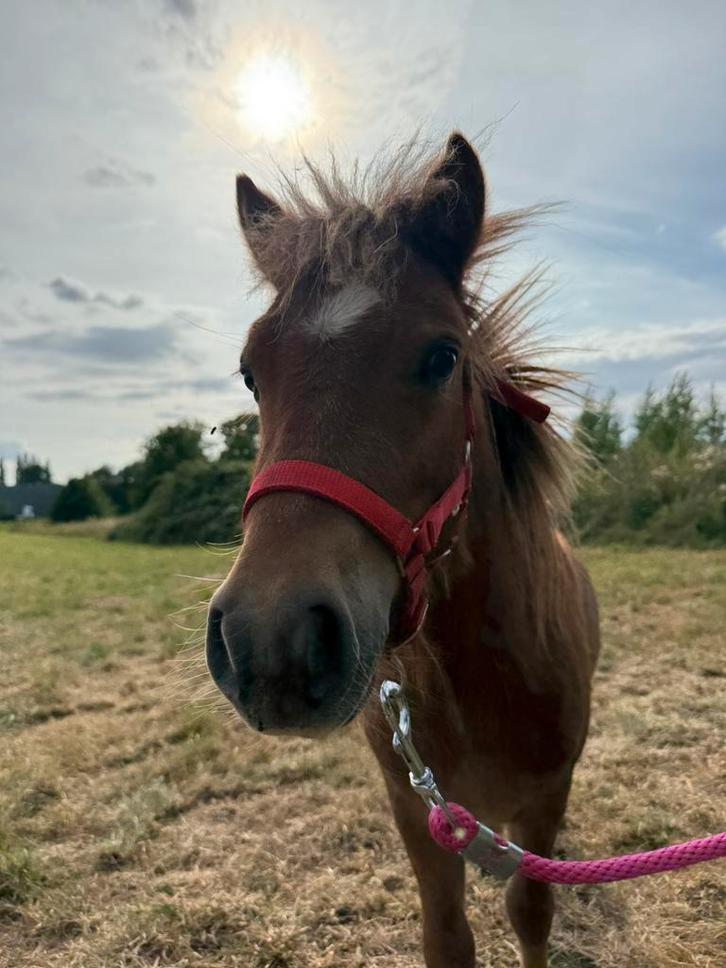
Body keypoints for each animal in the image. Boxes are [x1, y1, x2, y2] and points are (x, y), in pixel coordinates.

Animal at [206, 132, 600, 967]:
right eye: (252, 373)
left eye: (443, 357)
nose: (271, 644)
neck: (479, 677)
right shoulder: (416, 811)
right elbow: (447, 936)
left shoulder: (545, 798)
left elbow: (532, 911)